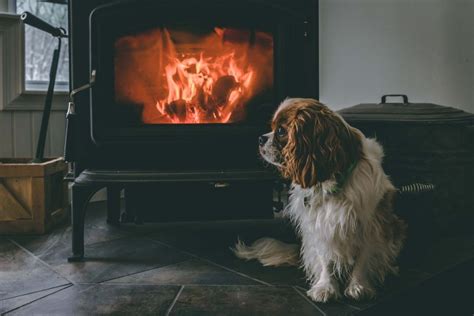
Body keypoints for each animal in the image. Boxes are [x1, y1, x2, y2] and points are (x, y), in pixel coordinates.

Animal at [235, 98, 406, 302]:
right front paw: (325, 287)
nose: (261, 138)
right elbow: (325, 259)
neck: (330, 180)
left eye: (281, 131)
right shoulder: (318, 224)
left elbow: (363, 258)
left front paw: (358, 286)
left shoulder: (370, 225)